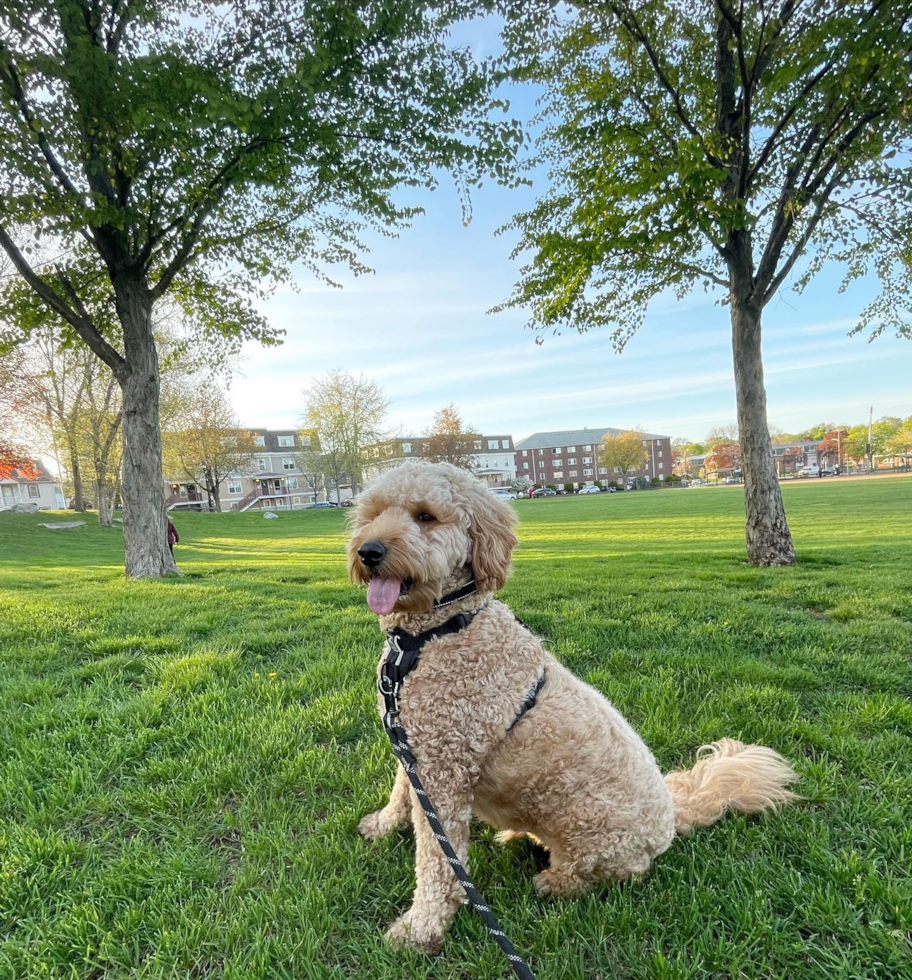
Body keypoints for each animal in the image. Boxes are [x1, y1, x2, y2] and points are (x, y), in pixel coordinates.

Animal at [350, 464, 800, 952]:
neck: (435, 633)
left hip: (595, 829)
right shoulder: (414, 742)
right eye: (373, 513)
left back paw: (557, 881)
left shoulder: (445, 768)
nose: (368, 551)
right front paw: (386, 824)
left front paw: (421, 927)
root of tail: (672, 813)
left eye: (425, 516)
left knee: (618, 872)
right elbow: (401, 790)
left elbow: (437, 861)